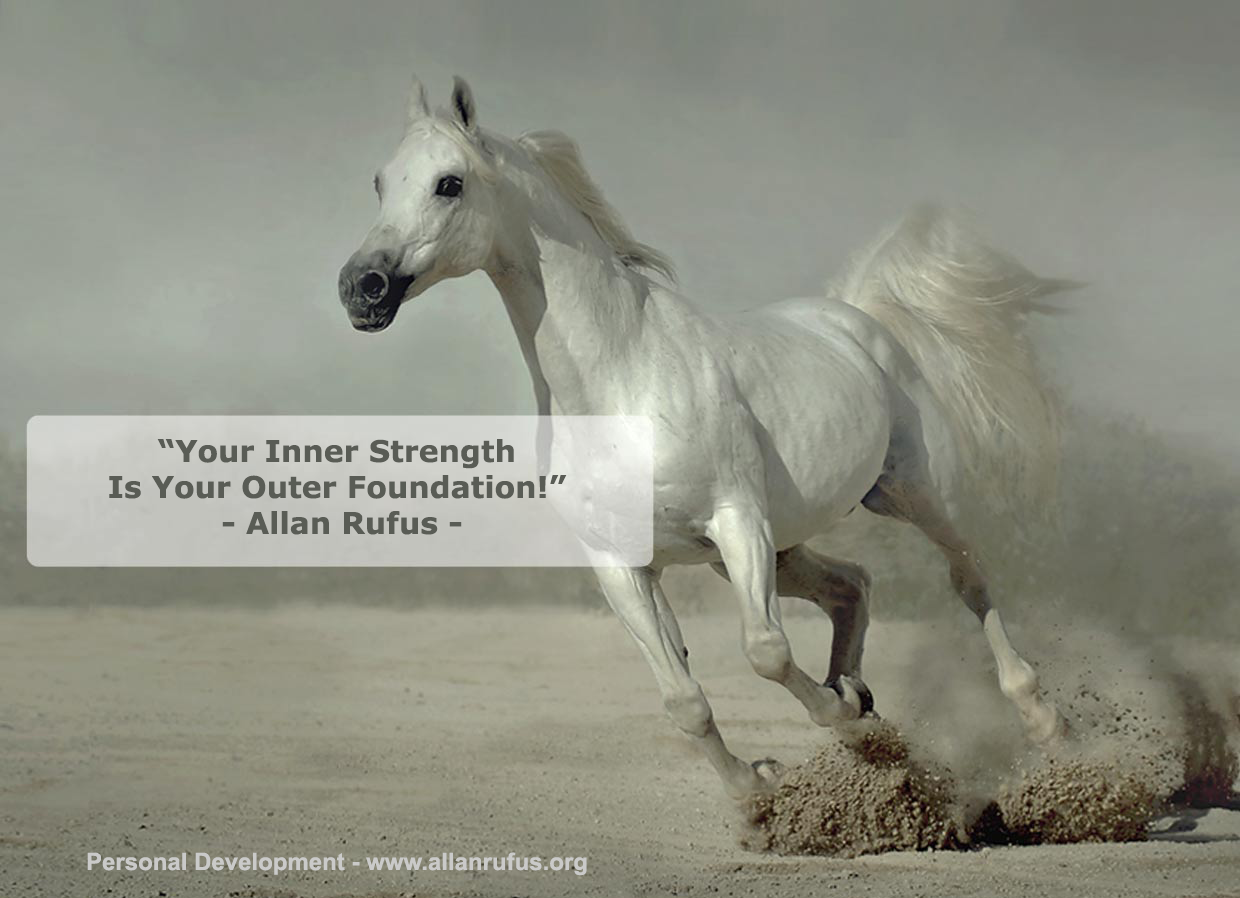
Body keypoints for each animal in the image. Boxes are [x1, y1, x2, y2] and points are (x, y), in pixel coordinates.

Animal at [337, 76, 1068, 799]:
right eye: (380, 181)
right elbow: (683, 700)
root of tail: (855, 318)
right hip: (778, 545)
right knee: (853, 585)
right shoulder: (623, 566)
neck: (623, 383)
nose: (360, 288)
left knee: (967, 575)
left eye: (449, 183)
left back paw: (1039, 719)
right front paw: (760, 789)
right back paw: (861, 700)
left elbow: (765, 652)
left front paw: (840, 721)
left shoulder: (737, 521)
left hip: (908, 493)